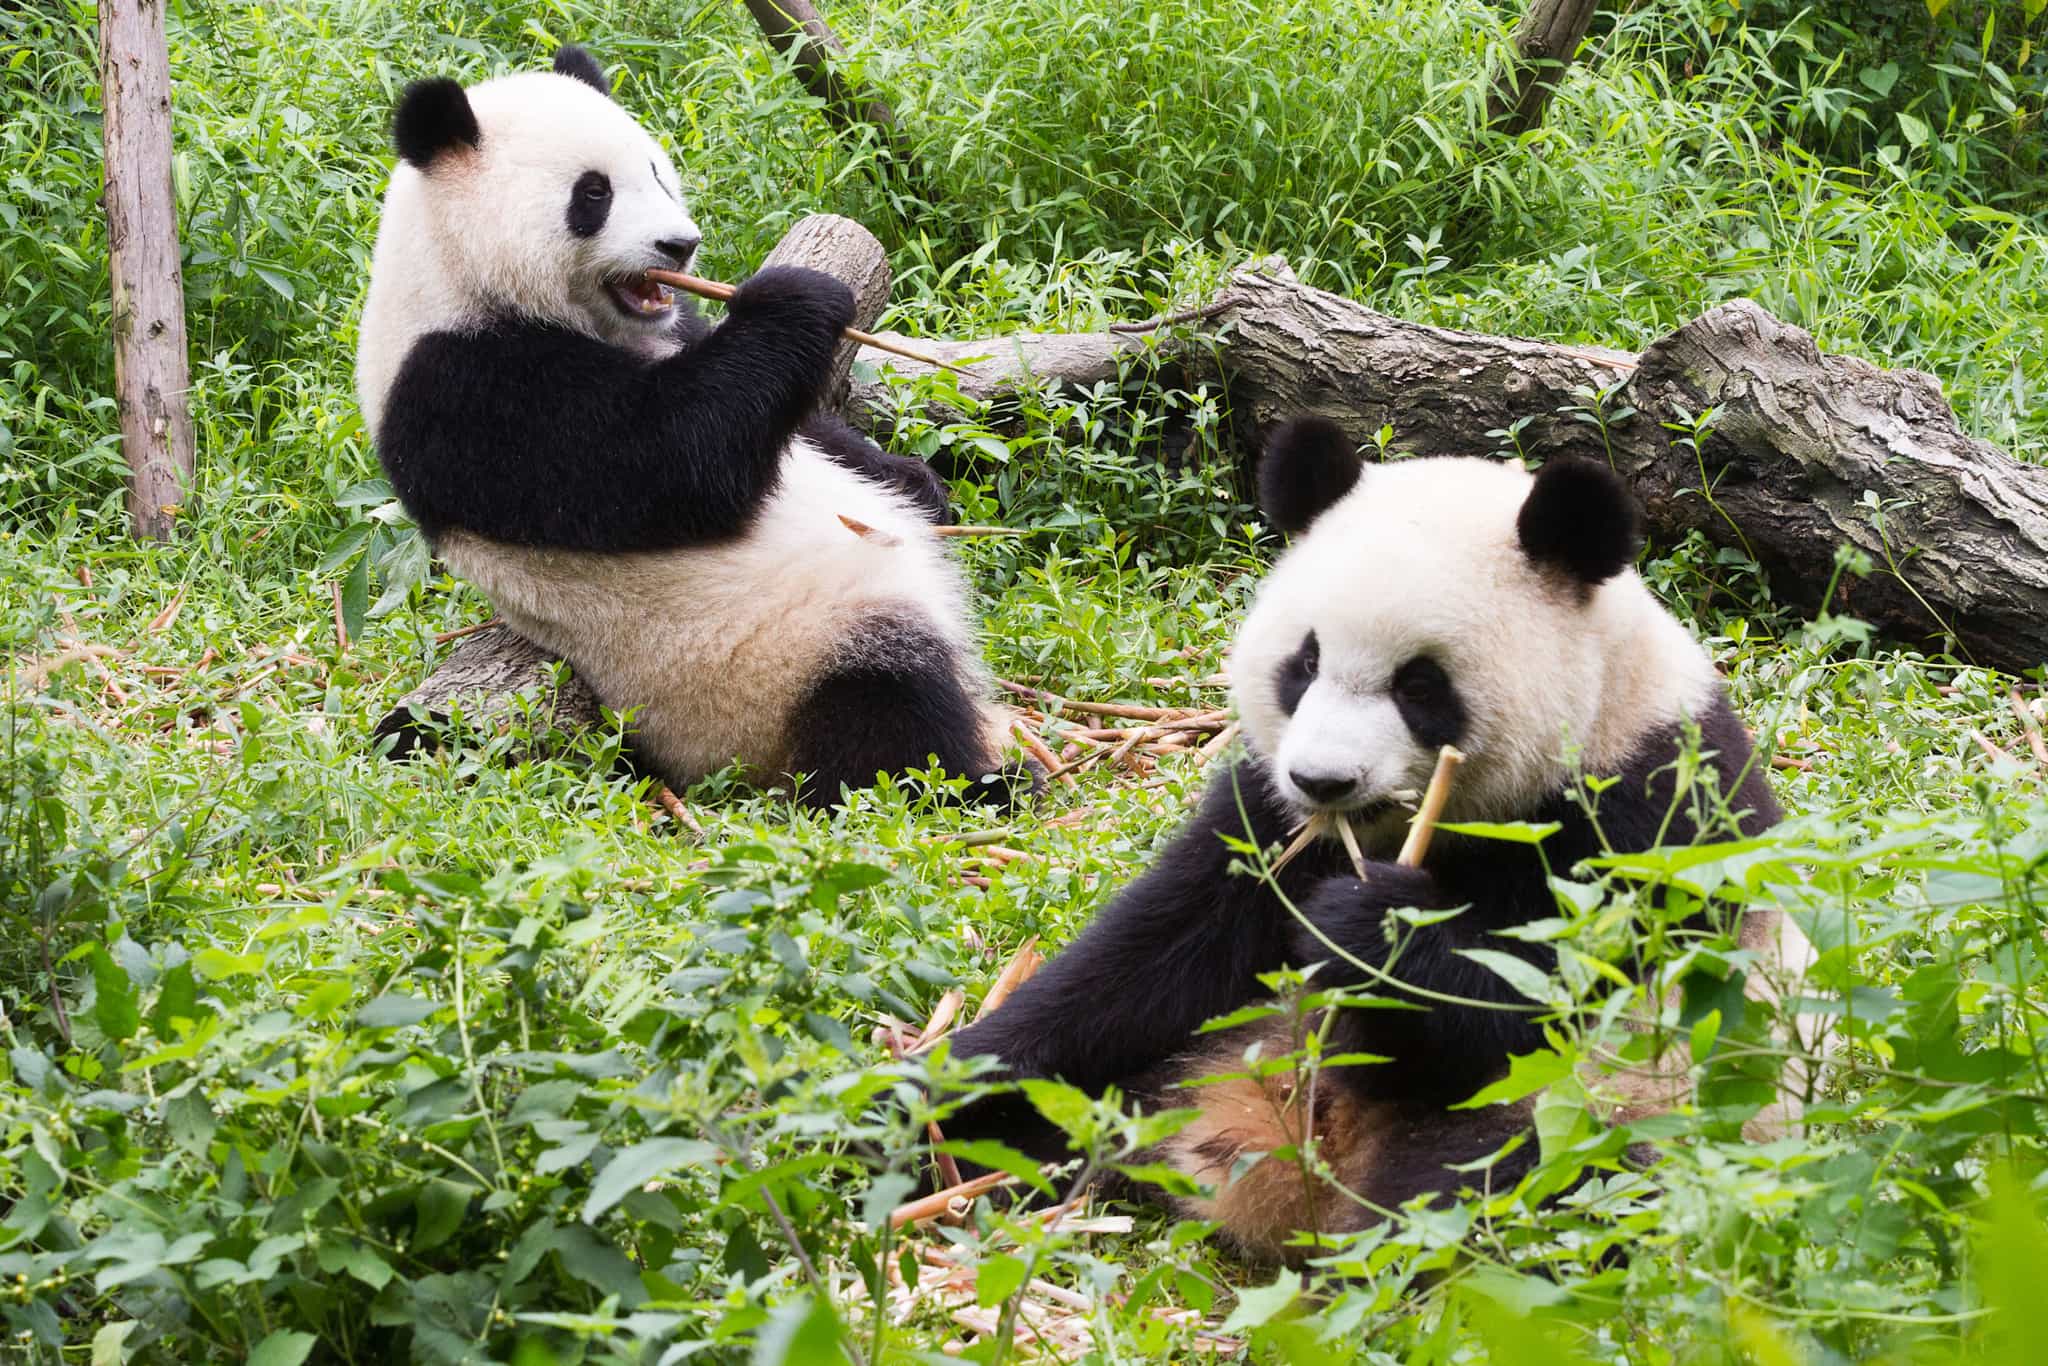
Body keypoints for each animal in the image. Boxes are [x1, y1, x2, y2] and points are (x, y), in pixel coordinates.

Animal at [356, 47, 1026, 807]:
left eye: (654, 171)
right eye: (593, 194)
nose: (679, 246)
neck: (453, 273)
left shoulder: (670, 328)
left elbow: (799, 427)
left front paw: (916, 482)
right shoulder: (463, 389)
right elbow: (674, 462)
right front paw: (798, 299)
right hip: (777, 663)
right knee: (886, 711)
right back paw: (981, 783)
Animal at [940, 418, 1815, 1261]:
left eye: (1419, 684)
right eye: (1305, 662)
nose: (1323, 781)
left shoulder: (1655, 816)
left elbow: (1556, 997)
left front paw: (1372, 927)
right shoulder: (1268, 816)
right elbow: (1152, 958)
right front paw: (945, 1082)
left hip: (1609, 1122)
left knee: (1501, 1192)